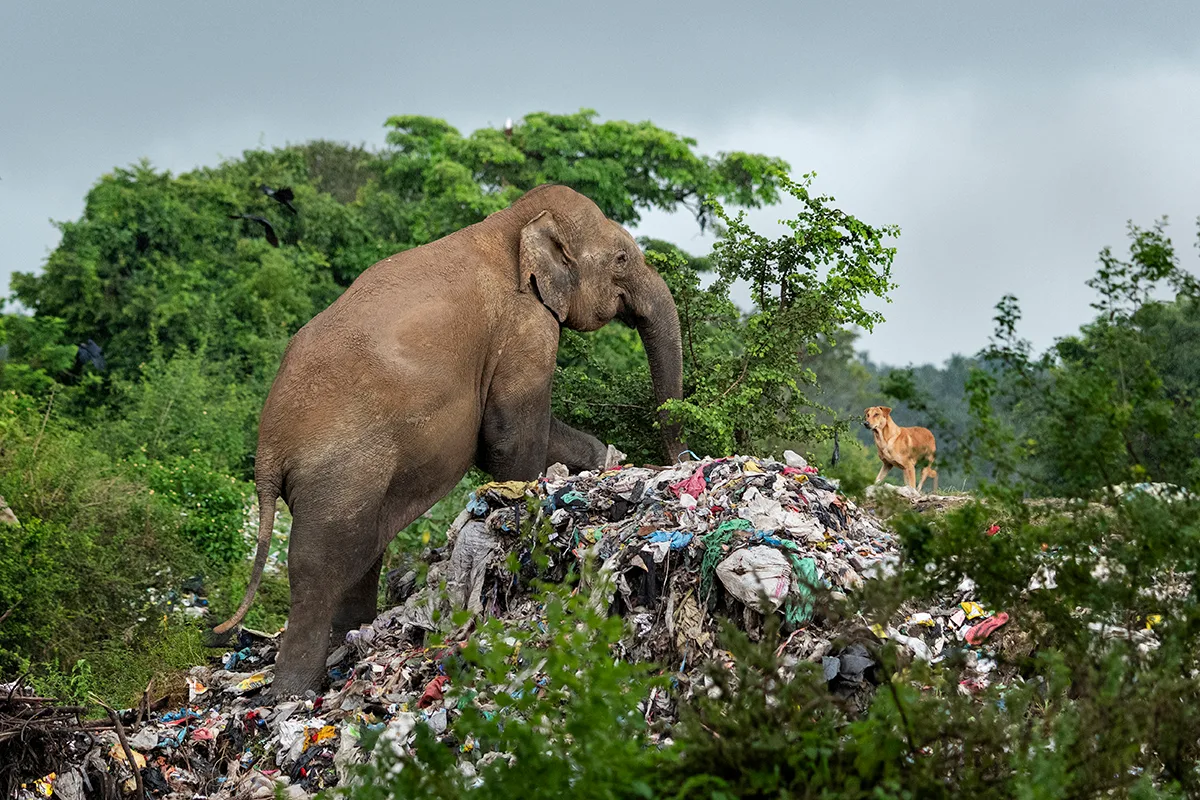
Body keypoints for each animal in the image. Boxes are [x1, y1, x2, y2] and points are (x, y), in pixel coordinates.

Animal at [214, 184, 685, 696]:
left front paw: (604, 461)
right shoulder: (524, 326)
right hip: (339, 471)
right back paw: (294, 694)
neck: (513, 222)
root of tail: (267, 452)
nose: (679, 460)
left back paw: (350, 648)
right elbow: (504, 436)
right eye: (621, 258)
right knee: (318, 569)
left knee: (362, 554)